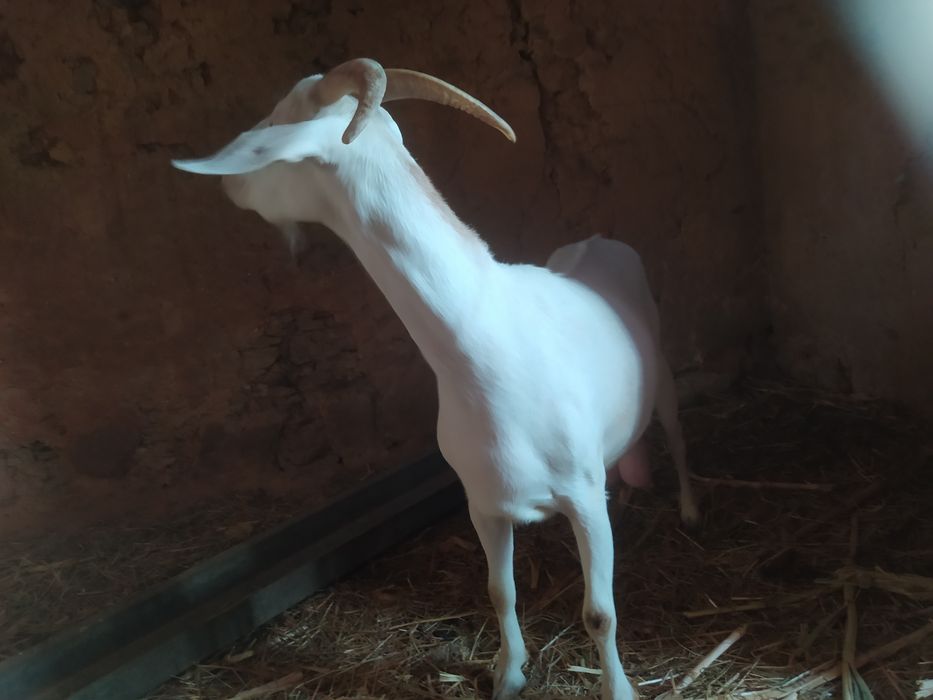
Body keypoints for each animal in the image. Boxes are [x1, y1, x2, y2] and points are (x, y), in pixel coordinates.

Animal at [173, 58, 699, 700]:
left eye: (276, 124)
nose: (231, 186)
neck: (483, 351)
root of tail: (598, 239)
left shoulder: (579, 497)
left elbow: (600, 613)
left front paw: (618, 689)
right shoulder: (483, 501)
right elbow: (500, 590)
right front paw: (508, 673)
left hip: (663, 373)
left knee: (676, 433)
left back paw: (690, 509)